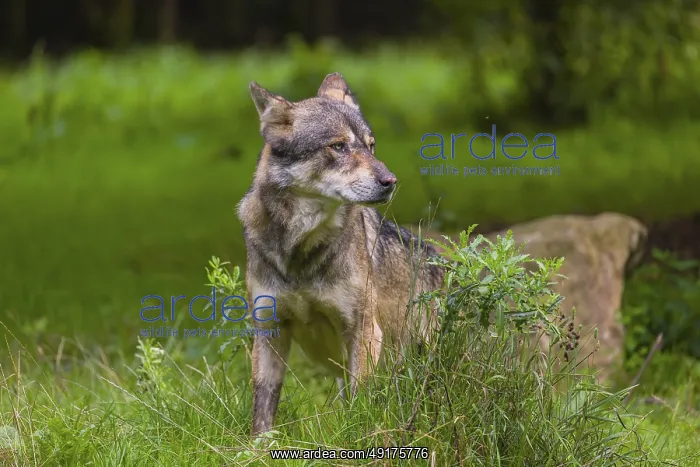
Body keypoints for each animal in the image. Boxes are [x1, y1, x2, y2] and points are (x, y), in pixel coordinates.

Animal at [237, 73, 444, 435]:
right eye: (338, 146)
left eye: (371, 146)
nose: (390, 181)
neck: (301, 251)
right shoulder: (269, 331)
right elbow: (262, 409)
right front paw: (257, 447)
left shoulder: (363, 332)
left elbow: (361, 405)